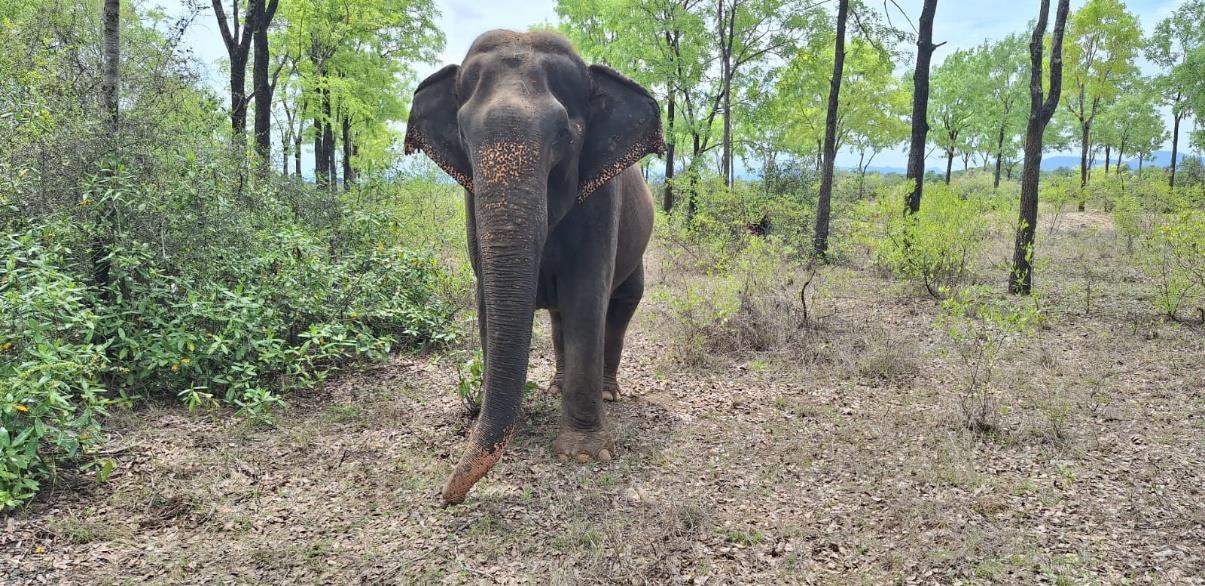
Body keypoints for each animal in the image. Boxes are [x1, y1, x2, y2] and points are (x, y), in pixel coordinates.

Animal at [403, 30, 664, 504]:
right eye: (463, 135)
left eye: (564, 135)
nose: (446, 497)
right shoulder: (471, 200)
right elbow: (487, 303)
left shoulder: (602, 200)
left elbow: (587, 298)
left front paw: (584, 454)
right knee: (560, 318)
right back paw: (556, 386)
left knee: (620, 307)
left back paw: (608, 393)